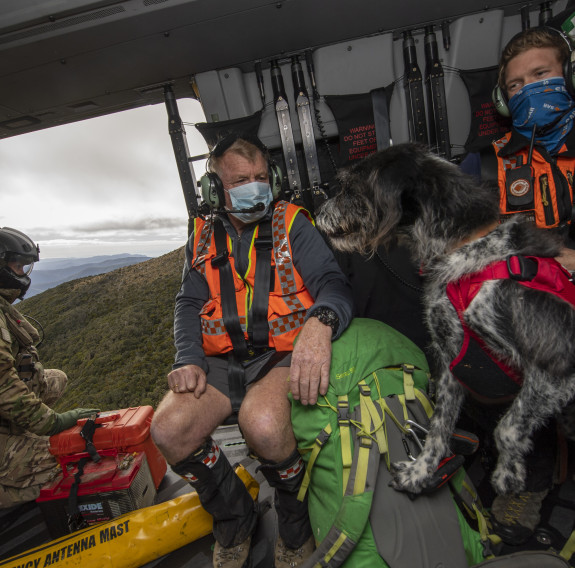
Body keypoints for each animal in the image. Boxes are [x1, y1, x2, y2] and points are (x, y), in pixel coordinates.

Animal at [318, 143, 575, 496]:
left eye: (349, 188)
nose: (317, 214)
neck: (465, 248)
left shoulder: (555, 370)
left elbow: (507, 428)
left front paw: (508, 475)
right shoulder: (454, 363)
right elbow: (439, 427)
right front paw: (420, 473)